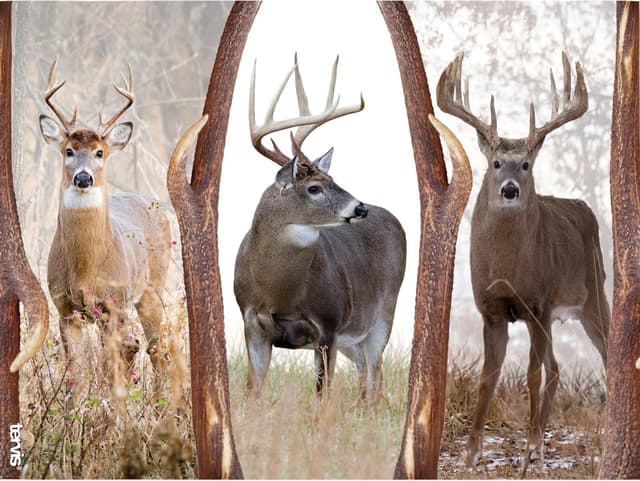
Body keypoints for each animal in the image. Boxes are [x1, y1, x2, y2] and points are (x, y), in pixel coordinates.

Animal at [39, 61, 171, 379]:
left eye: (100, 152)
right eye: (69, 151)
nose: (83, 177)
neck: (85, 271)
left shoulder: (113, 305)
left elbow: (108, 365)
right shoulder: (64, 308)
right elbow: (75, 372)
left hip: (152, 289)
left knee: (156, 349)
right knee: (141, 347)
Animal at [233, 55, 407, 400]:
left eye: (333, 178)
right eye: (314, 188)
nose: (360, 207)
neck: (278, 293)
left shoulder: (329, 325)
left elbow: (321, 396)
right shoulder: (251, 323)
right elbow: (252, 390)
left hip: (383, 313)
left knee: (375, 373)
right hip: (355, 336)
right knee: (365, 370)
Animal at [437, 52, 610, 466]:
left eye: (527, 165)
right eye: (496, 163)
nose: (511, 190)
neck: (508, 271)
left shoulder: (538, 304)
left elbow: (531, 375)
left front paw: (528, 447)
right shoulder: (492, 309)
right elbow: (488, 376)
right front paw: (472, 451)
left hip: (594, 294)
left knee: (609, 355)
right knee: (558, 369)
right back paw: (542, 438)